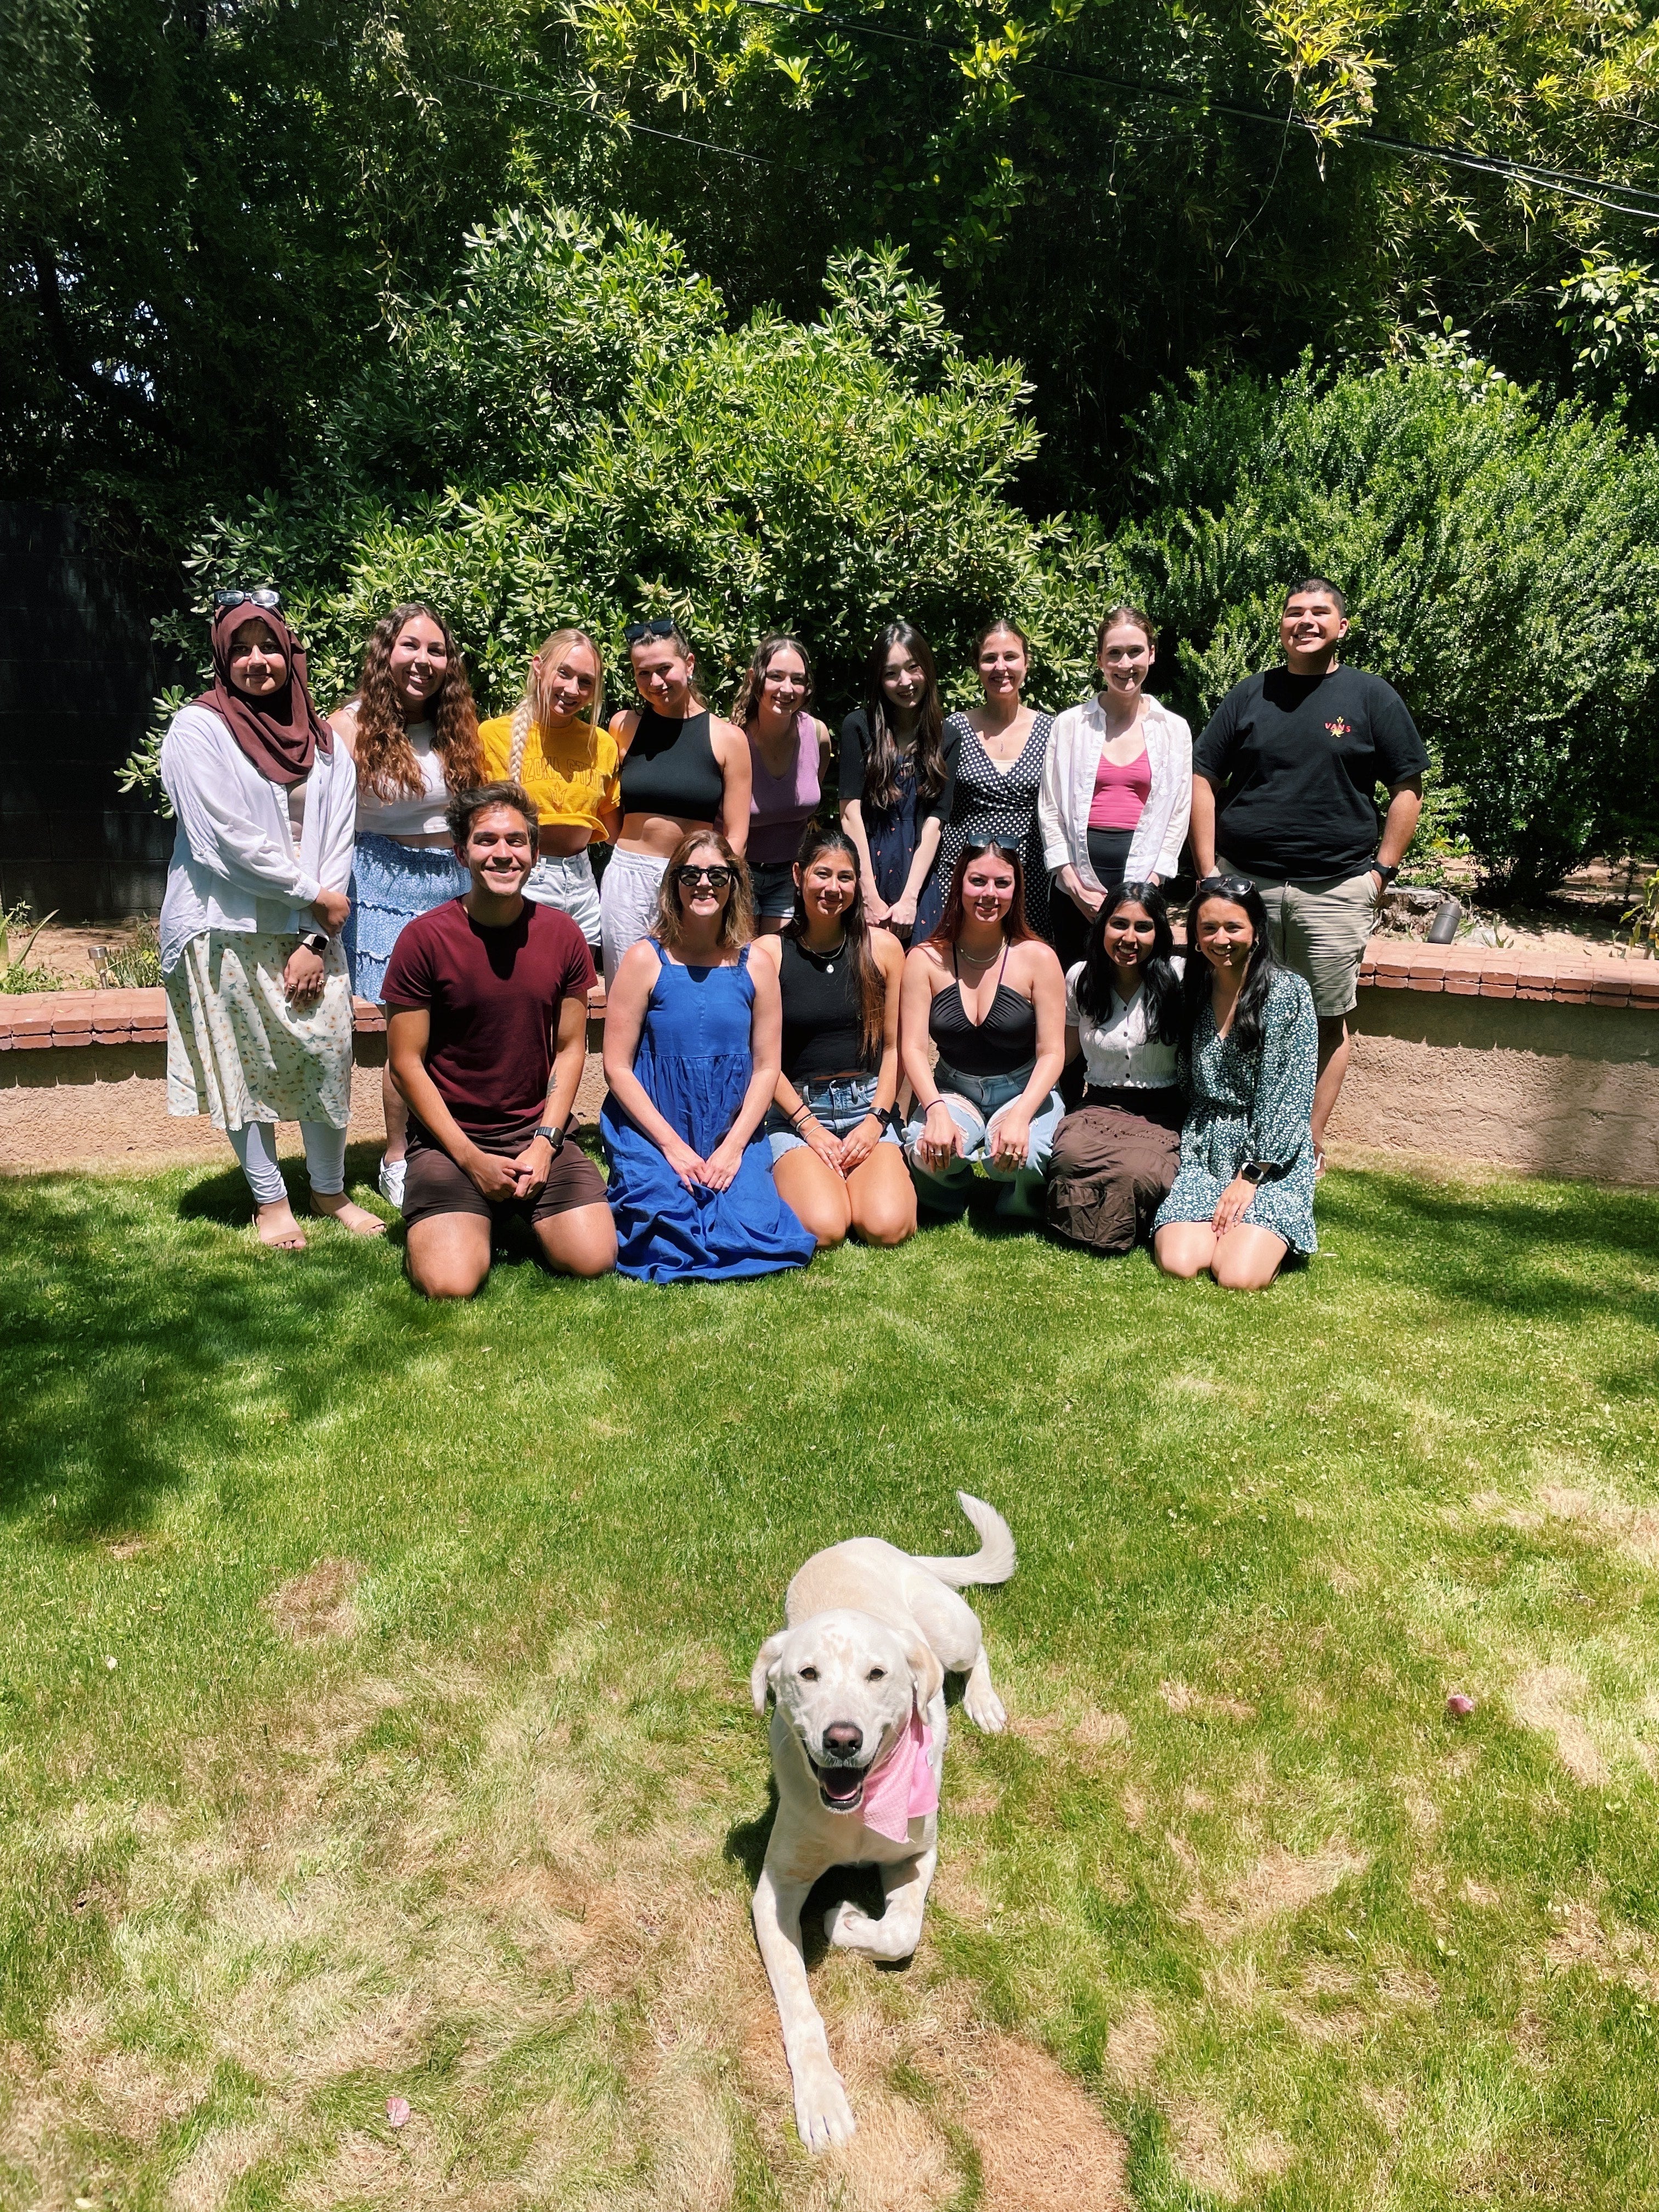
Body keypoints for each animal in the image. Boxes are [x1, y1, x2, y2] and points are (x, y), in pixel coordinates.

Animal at [752, 1486, 1013, 2141]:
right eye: (807, 1673)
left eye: (877, 1674)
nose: (842, 1739)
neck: (860, 1810)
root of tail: (871, 1544)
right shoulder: (775, 1889)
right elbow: (800, 2007)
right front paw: (820, 2098)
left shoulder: (918, 1854)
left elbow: (900, 1931)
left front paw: (842, 1918)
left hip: (950, 1631)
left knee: (978, 1650)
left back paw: (983, 1702)